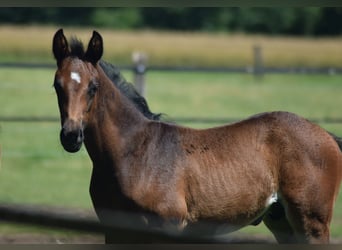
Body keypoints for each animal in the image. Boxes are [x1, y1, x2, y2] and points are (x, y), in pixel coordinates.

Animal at [52, 28, 340, 242]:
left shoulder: (167, 227)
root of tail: (326, 134)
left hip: (312, 222)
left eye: (93, 87)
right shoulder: (115, 231)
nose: (71, 137)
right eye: (57, 85)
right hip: (281, 222)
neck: (134, 154)